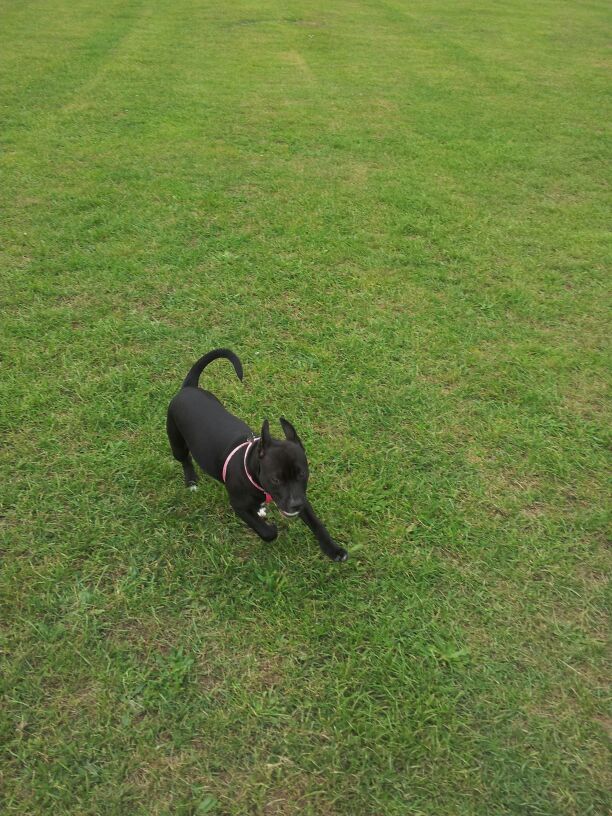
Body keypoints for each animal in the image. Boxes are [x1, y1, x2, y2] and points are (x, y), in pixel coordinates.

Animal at [166, 348, 350, 564]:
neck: (251, 465)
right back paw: (191, 481)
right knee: (185, 459)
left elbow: (316, 523)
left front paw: (333, 549)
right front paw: (271, 528)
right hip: (176, 440)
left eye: (302, 474)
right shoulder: (239, 506)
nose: (295, 504)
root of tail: (188, 388)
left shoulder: (300, 496)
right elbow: (267, 532)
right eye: (276, 479)